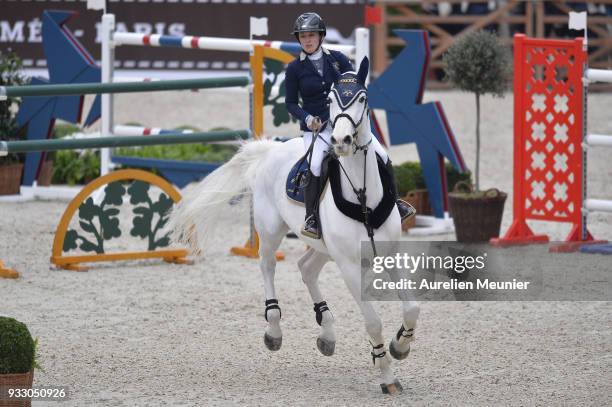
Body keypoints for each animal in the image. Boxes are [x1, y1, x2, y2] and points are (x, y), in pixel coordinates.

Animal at [170, 58, 418, 396]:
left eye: (362, 98)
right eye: (331, 99)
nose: (341, 142)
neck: (363, 193)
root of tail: (270, 151)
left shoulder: (389, 255)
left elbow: (411, 308)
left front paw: (399, 346)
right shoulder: (349, 266)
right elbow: (373, 322)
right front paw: (387, 376)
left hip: (322, 247)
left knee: (306, 268)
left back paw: (327, 334)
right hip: (271, 231)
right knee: (267, 265)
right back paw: (274, 330)